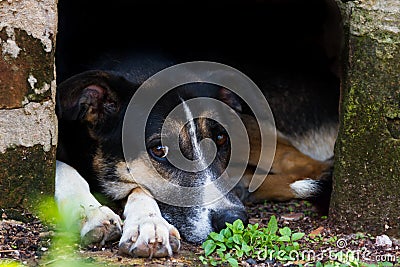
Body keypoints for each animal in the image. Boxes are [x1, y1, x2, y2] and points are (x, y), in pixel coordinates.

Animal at [54, 51, 340, 258]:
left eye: (221, 139)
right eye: (160, 150)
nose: (233, 220)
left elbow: (139, 188)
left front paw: (148, 224)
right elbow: (65, 169)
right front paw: (94, 213)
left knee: (308, 165)